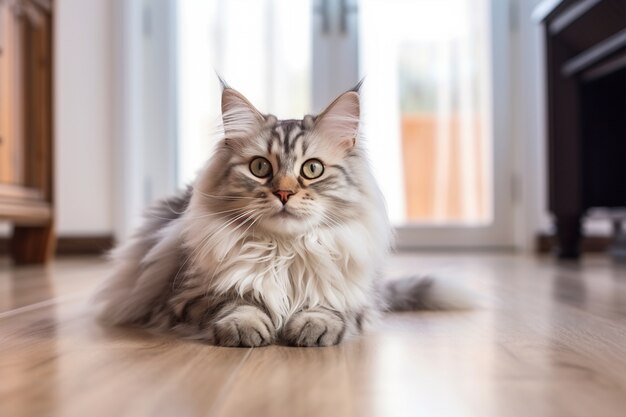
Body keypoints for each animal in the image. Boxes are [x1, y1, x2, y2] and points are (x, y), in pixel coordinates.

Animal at [92, 83, 466, 346]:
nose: (284, 193)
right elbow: (236, 302)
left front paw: (313, 325)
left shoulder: (355, 298)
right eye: (260, 168)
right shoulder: (185, 297)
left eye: (312, 169)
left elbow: (329, 306)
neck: (285, 252)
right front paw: (246, 326)